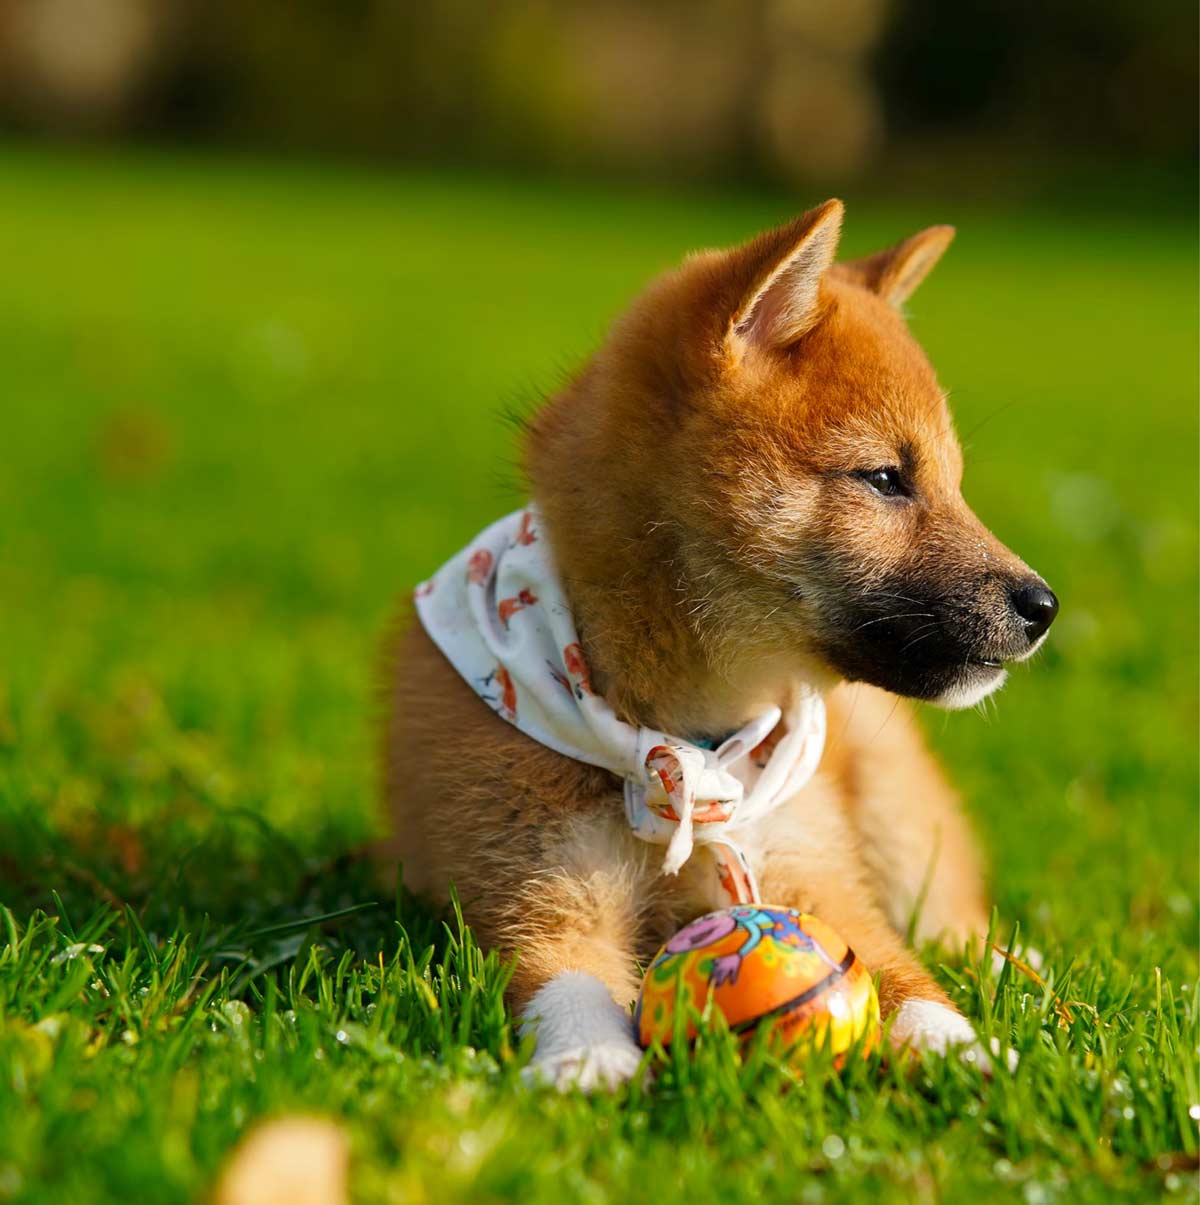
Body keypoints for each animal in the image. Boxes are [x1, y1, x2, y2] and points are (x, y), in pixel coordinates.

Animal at [378, 204, 1060, 1094]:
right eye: (884, 478)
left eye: (955, 483)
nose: (1044, 605)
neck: (687, 737)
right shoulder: (543, 890)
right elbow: (568, 983)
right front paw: (587, 1062)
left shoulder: (818, 878)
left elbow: (906, 975)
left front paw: (966, 1053)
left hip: (898, 821)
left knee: (956, 924)